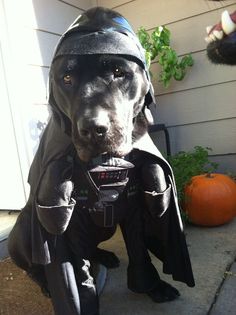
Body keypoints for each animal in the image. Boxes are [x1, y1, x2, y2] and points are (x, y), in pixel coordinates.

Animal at [8, 7, 195, 315]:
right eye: (66, 78)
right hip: (22, 230)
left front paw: (153, 287)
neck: (106, 165)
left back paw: (105, 256)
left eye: (119, 72)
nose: (94, 128)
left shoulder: (136, 205)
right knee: (33, 266)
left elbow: (139, 251)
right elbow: (78, 274)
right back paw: (46, 282)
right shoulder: (68, 222)